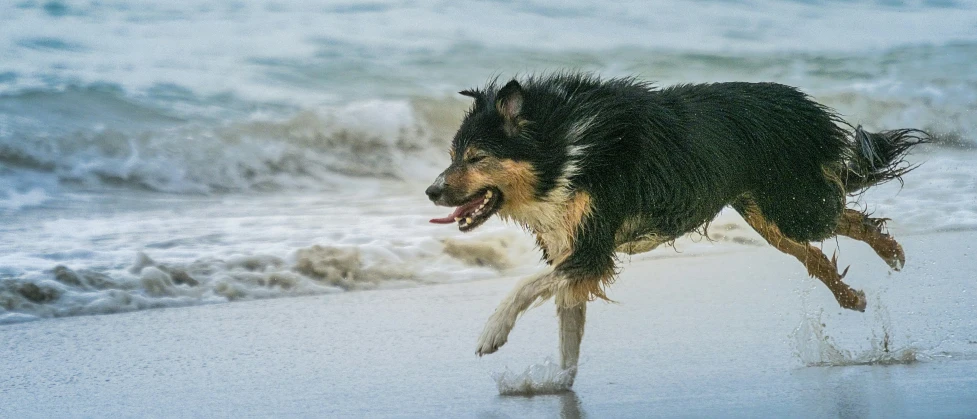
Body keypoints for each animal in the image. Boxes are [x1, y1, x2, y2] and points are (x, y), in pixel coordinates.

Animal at [424, 72, 928, 384]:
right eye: (453, 155)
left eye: (476, 158)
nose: (431, 191)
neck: (562, 146)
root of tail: (803, 104)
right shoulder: (573, 249)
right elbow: (568, 331)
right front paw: (559, 384)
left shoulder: (592, 248)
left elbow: (524, 286)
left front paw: (492, 333)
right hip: (764, 213)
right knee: (815, 252)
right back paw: (853, 297)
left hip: (790, 204)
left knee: (847, 218)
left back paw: (891, 252)